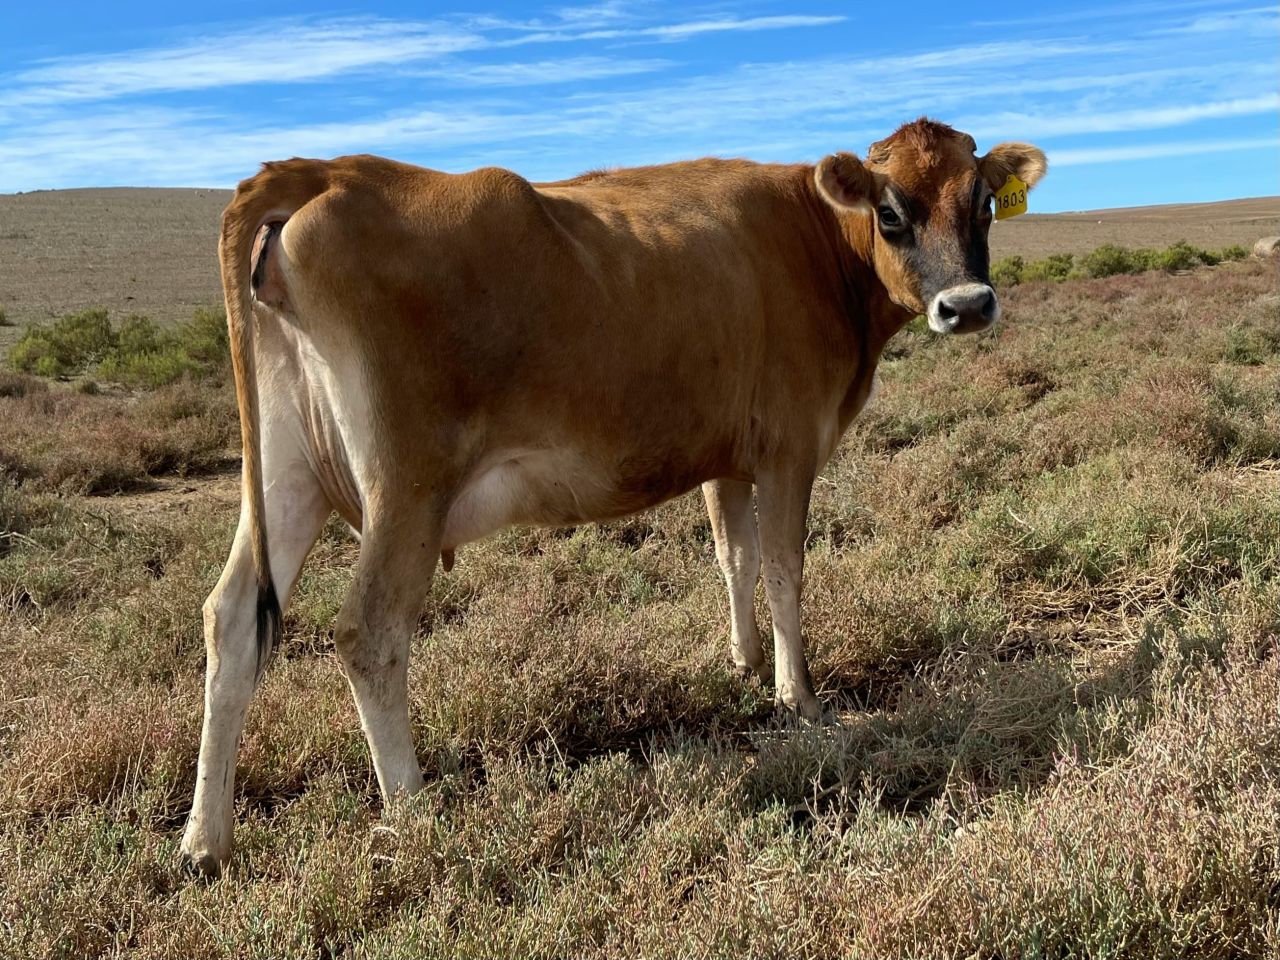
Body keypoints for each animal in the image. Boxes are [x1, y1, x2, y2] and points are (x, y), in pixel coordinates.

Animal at [180, 118, 1044, 870]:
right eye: (891, 212)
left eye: (983, 200)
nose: (968, 305)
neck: (814, 239)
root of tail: (331, 170)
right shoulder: (790, 448)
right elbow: (783, 569)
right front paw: (798, 696)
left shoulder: (727, 455)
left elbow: (734, 557)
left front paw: (743, 661)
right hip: (407, 489)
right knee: (368, 630)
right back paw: (417, 814)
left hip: (288, 475)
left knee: (232, 619)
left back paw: (204, 840)